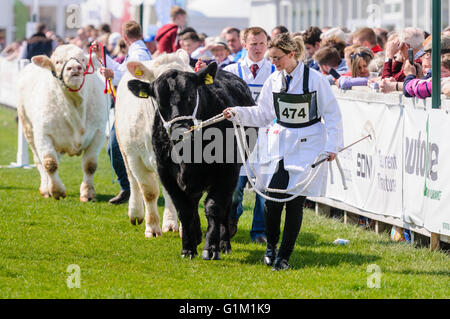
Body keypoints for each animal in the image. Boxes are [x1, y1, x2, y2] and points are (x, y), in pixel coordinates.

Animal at [16, 44, 109, 202]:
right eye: (58, 61)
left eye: (83, 59)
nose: (75, 68)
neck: (75, 104)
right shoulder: (43, 134)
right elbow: (49, 163)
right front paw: (56, 191)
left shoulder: (98, 132)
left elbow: (90, 165)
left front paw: (88, 193)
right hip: (28, 129)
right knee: (39, 162)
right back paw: (45, 188)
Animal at [114, 50, 192, 239]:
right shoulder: (136, 158)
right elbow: (149, 191)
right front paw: (152, 228)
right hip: (123, 148)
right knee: (132, 180)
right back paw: (135, 213)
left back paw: (170, 223)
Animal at [128, 62, 256, 260]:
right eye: (159, 101)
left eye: (190, 95)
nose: (179, 130)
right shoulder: (166, 173)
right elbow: (184, 210)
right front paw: (188, 248)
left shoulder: (227, 172)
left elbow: (214, 207)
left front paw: (211, 248)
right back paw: (195, 236)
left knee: (226, 207)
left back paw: (224, 243)